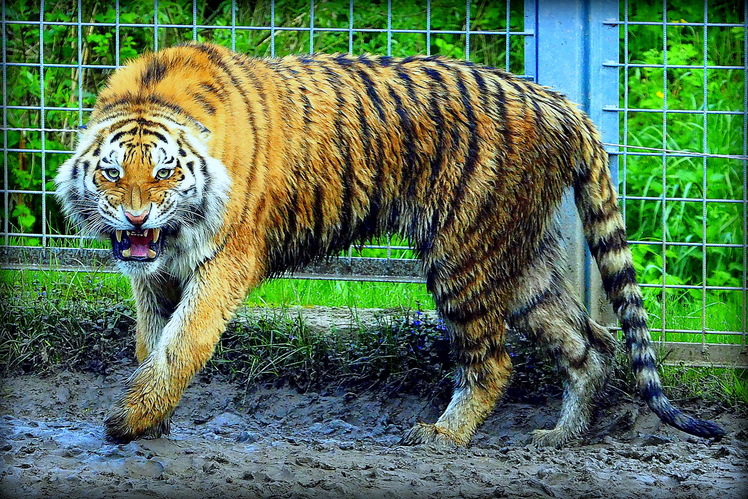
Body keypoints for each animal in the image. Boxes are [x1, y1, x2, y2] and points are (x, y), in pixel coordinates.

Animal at [54, 43, 724, 448]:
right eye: (111, 173)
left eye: (165, 172)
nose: (136, 216)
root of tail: (560, 102)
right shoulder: (152, 275)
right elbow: (152, 343)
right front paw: (152, 420)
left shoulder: (224, 262)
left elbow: (181, 342)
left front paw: (128, 421)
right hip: (523, 266)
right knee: (591, 343)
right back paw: (561, 437)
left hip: (463, 256)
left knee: (492, 363)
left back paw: (443, 436)